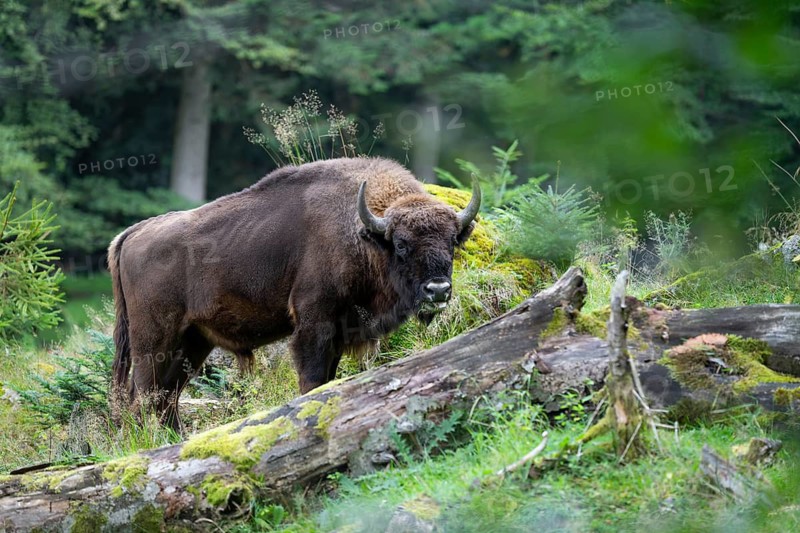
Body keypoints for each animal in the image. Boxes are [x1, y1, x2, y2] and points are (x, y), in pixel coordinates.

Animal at [109, 157, 481, 430]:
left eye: (452, 241)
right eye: (401, 244)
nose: (437, 290)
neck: (363, 234)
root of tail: (133, 232)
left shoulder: (338, 335)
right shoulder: (314, 325)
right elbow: (313, 380)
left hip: (194, 341)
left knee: (165, 397)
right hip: (153, 340)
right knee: (142, 396)